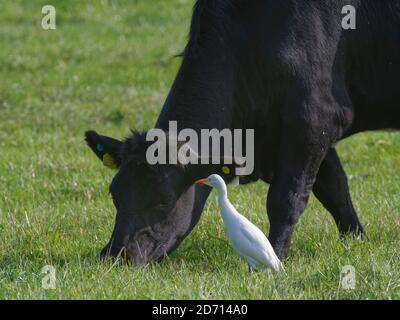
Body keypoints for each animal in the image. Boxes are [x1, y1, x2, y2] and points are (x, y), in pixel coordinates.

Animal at [84, 0, 400, 264]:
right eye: (114, 193)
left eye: (163, 200)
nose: (116, 256)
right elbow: (336, 189)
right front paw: (356, 240)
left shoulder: (314, 117)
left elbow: (287, 197)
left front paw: (275, 253)